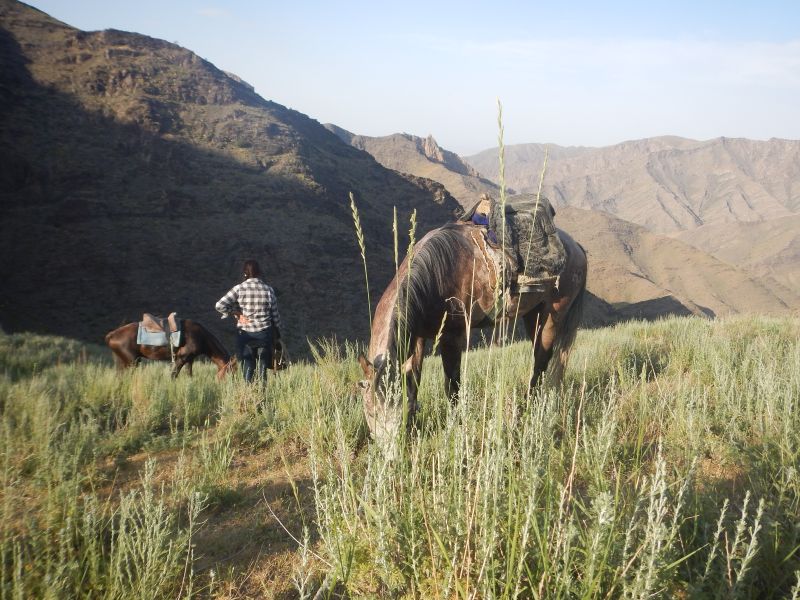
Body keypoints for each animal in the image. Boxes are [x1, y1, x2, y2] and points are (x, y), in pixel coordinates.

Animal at [104, 318, 233, 380]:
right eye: (232, 372)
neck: (200, 336)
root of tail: (112, 334)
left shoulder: (189, 360)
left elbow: (189, 375)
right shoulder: (181, 359)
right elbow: (173, 375)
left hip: (122, 362)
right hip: (131, 362)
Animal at [360, 223, 584, 442]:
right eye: (371, 412)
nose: (390, 451)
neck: (435, 276)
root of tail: (577, 248)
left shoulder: (452, 337)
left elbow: (452, 386)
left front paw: (454, 427)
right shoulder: (417, 337)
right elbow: (414, 379)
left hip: (552, 316)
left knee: (541, 362)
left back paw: (530, 408)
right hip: (533, 315)